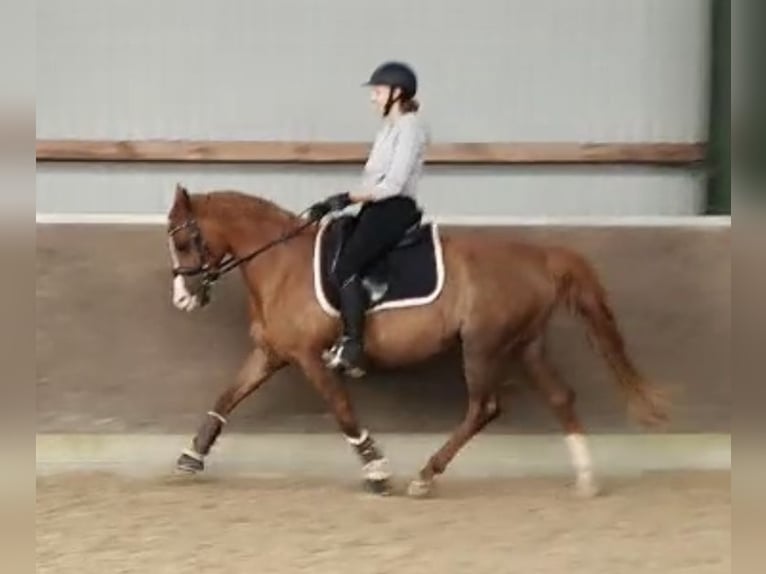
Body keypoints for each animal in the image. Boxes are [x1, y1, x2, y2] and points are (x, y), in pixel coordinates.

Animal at [166, 186, 664, 500]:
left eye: (187, 240)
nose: (183, 298)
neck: (281, 263)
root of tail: (540, 257)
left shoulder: (310, 357)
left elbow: (342, 411)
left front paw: (377, 470)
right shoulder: (271, 353)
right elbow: (226, 398)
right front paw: (190, 458)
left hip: (482, 345)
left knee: (483, 408)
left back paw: (425, 477)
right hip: (525, 344)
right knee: (560, 398)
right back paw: (587, 479)